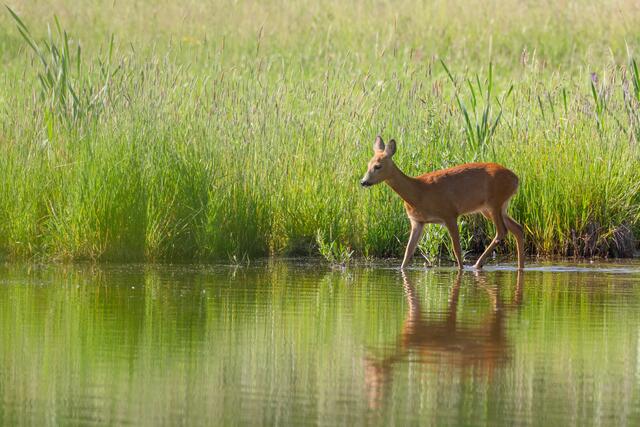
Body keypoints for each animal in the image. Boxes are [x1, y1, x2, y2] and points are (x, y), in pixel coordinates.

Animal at [360, 135, 525, 270]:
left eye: (378, 166)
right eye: (368, 164)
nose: (363, 182)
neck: (418, 192)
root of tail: (516, 179)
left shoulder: (449, 214)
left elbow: (457, 250)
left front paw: (461, 269)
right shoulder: (417, 221)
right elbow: (408, 252)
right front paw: (401, 269)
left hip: (494, 202)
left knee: (502, 231)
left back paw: (477, 265)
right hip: (494, 208)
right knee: (517, 228)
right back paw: (519, 267)